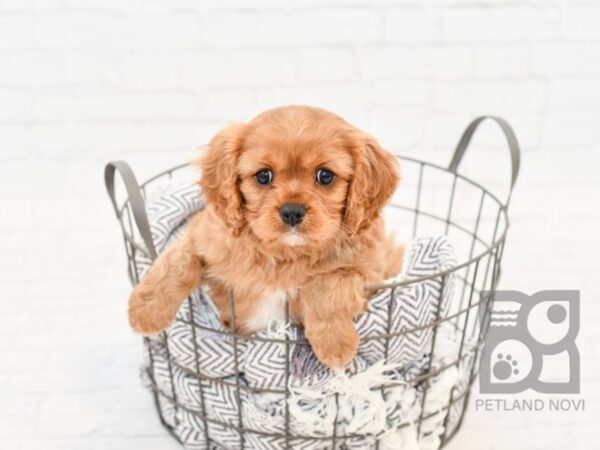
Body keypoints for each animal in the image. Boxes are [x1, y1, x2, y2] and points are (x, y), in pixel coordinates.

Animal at [128, 106, 400, 370]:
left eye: (325, 176)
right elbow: (176, 262)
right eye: (263, 176)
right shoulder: (202, 236)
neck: (283, 255)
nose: (292, 211)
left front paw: (334, 342)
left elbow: (328, 284)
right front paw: (145, 311)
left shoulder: (372, 268)